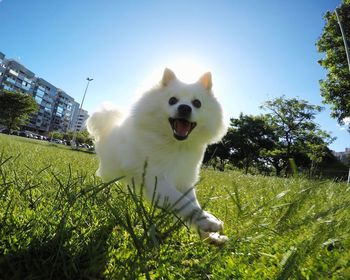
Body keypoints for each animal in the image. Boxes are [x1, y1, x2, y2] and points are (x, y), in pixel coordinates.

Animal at [87, 69, 228, 244]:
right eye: (172, 100)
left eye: (197, 103)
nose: (184, 108)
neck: (176, 146)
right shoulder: (158, 181)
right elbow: (184, 203)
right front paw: (210, 221)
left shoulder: (185, 181)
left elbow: (192, 203)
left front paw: (210, 235)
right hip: (111, 170)